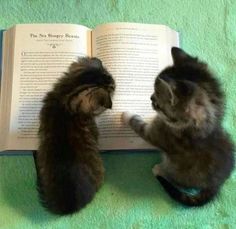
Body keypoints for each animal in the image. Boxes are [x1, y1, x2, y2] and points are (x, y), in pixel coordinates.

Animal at [122, 47, 235, 207]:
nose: (150, 97)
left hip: (175, 168)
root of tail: (217, 184)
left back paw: (158, 170)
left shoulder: (158, 135)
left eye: (156, 101)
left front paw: (125, 114)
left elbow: (139, 125)